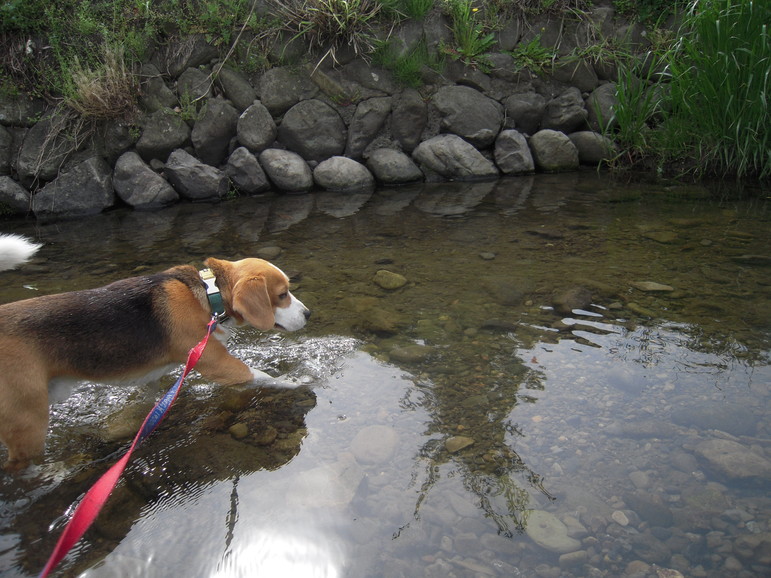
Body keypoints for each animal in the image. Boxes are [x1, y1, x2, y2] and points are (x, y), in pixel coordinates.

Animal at [0, 233, 310, 468]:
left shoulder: (151, 377)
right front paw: (295, 380)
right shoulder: (218, 364)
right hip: (29, 420)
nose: (308, 314)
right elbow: (261, 376)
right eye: (282, 295)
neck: (208, 294)